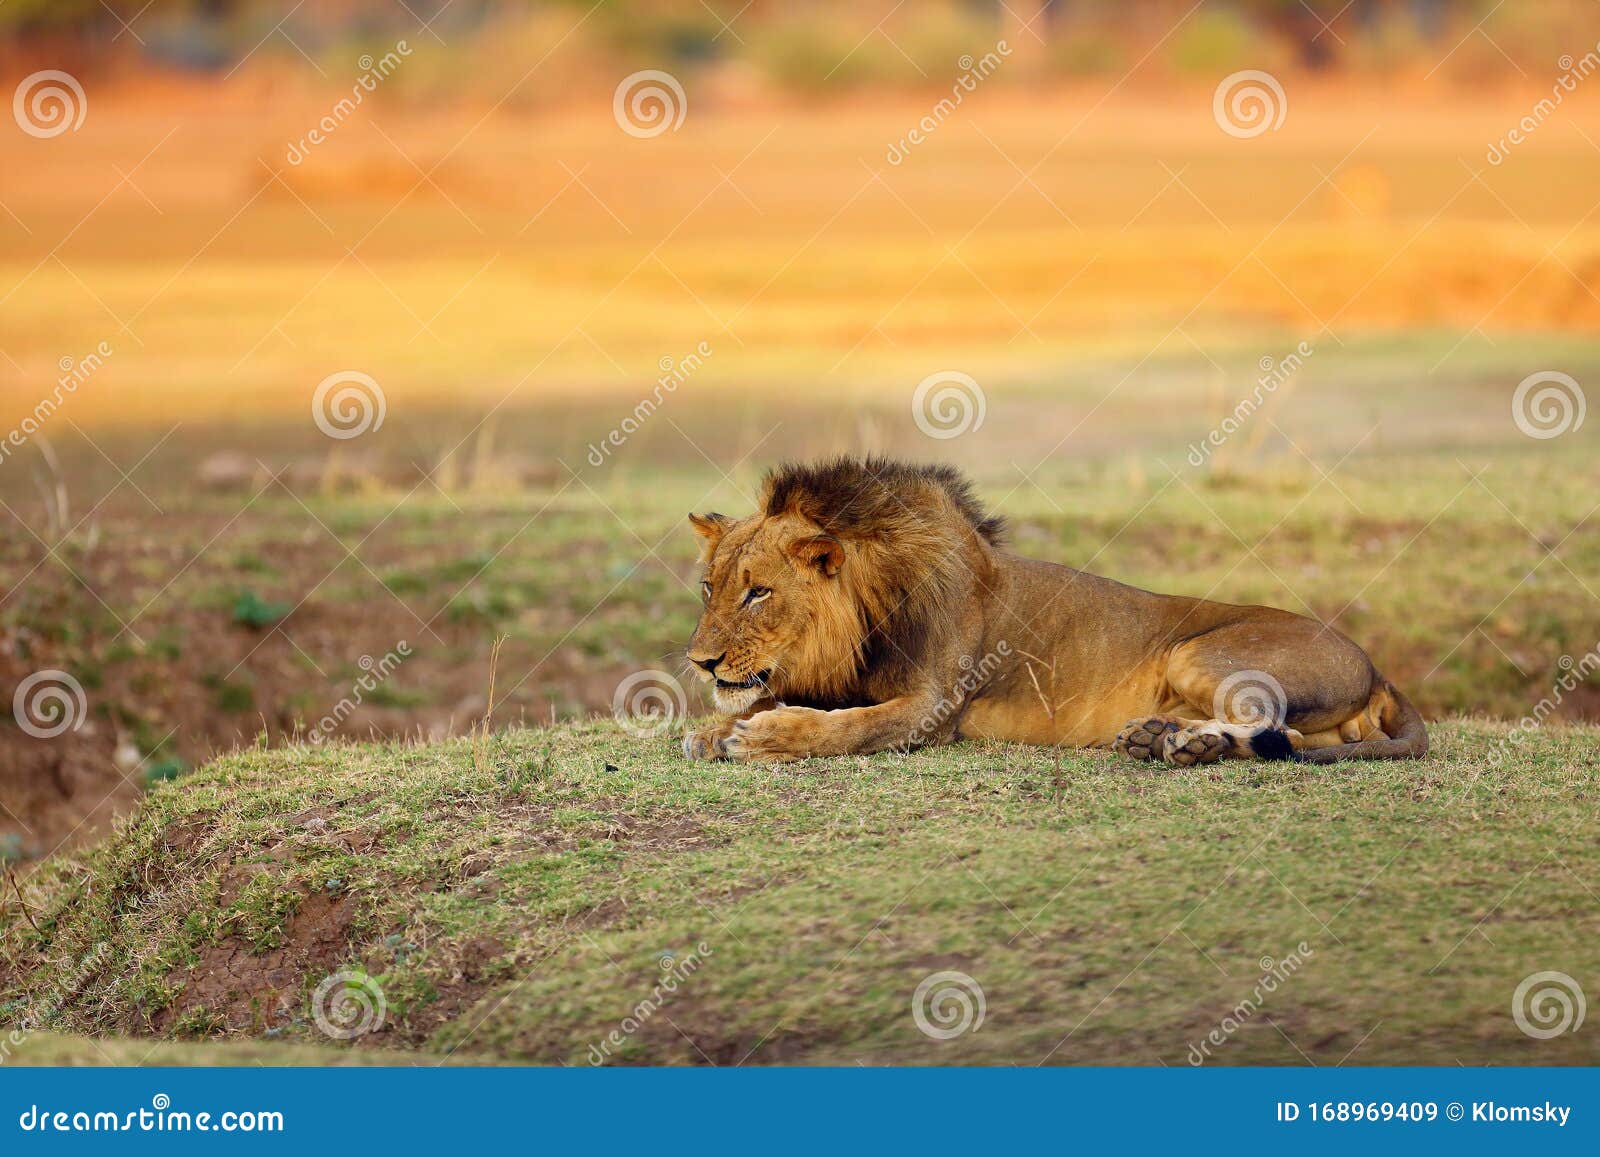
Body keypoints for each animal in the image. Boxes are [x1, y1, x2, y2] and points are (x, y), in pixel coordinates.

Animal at [681, 454, 1433, 768]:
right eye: (709, 588)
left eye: (758, 591)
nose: (700, 662)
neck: (868, 614)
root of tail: (1376, 669)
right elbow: (782, 700)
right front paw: (715, 730)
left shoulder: (932, 707)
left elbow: (847, 729)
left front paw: (763, 737)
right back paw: (1163, 737)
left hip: (1198, 652)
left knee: (1278, 727)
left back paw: (1181, 742)